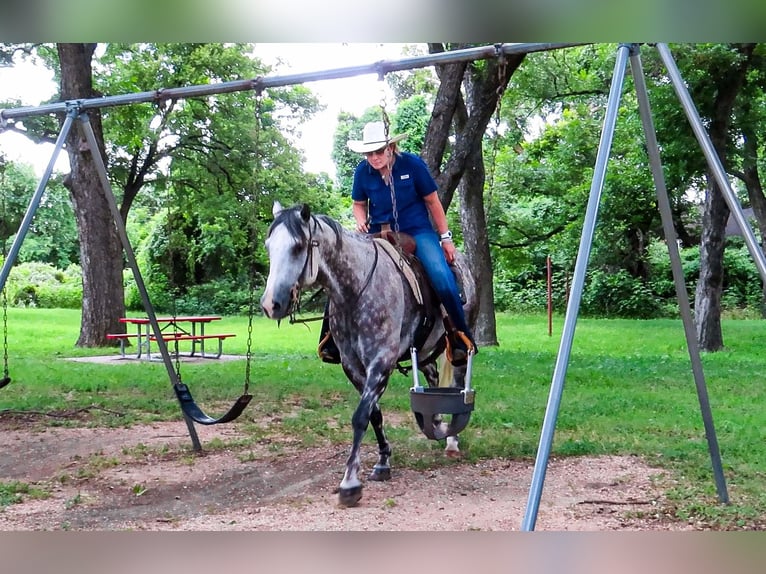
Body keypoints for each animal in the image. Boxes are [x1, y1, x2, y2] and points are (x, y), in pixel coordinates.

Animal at [260, 202, 478, 507]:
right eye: (269, 246)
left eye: (298, 246)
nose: (271, 304)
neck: (355, 291)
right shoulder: (352, 366)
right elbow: (374, 414)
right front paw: (383, 461)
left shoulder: (381, 361)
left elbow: (361, 415)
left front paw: (350, 483)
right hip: (424, 349)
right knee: (433, 374)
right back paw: (435, 422)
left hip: (456, 346)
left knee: (456, 381)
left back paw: (452, 441)